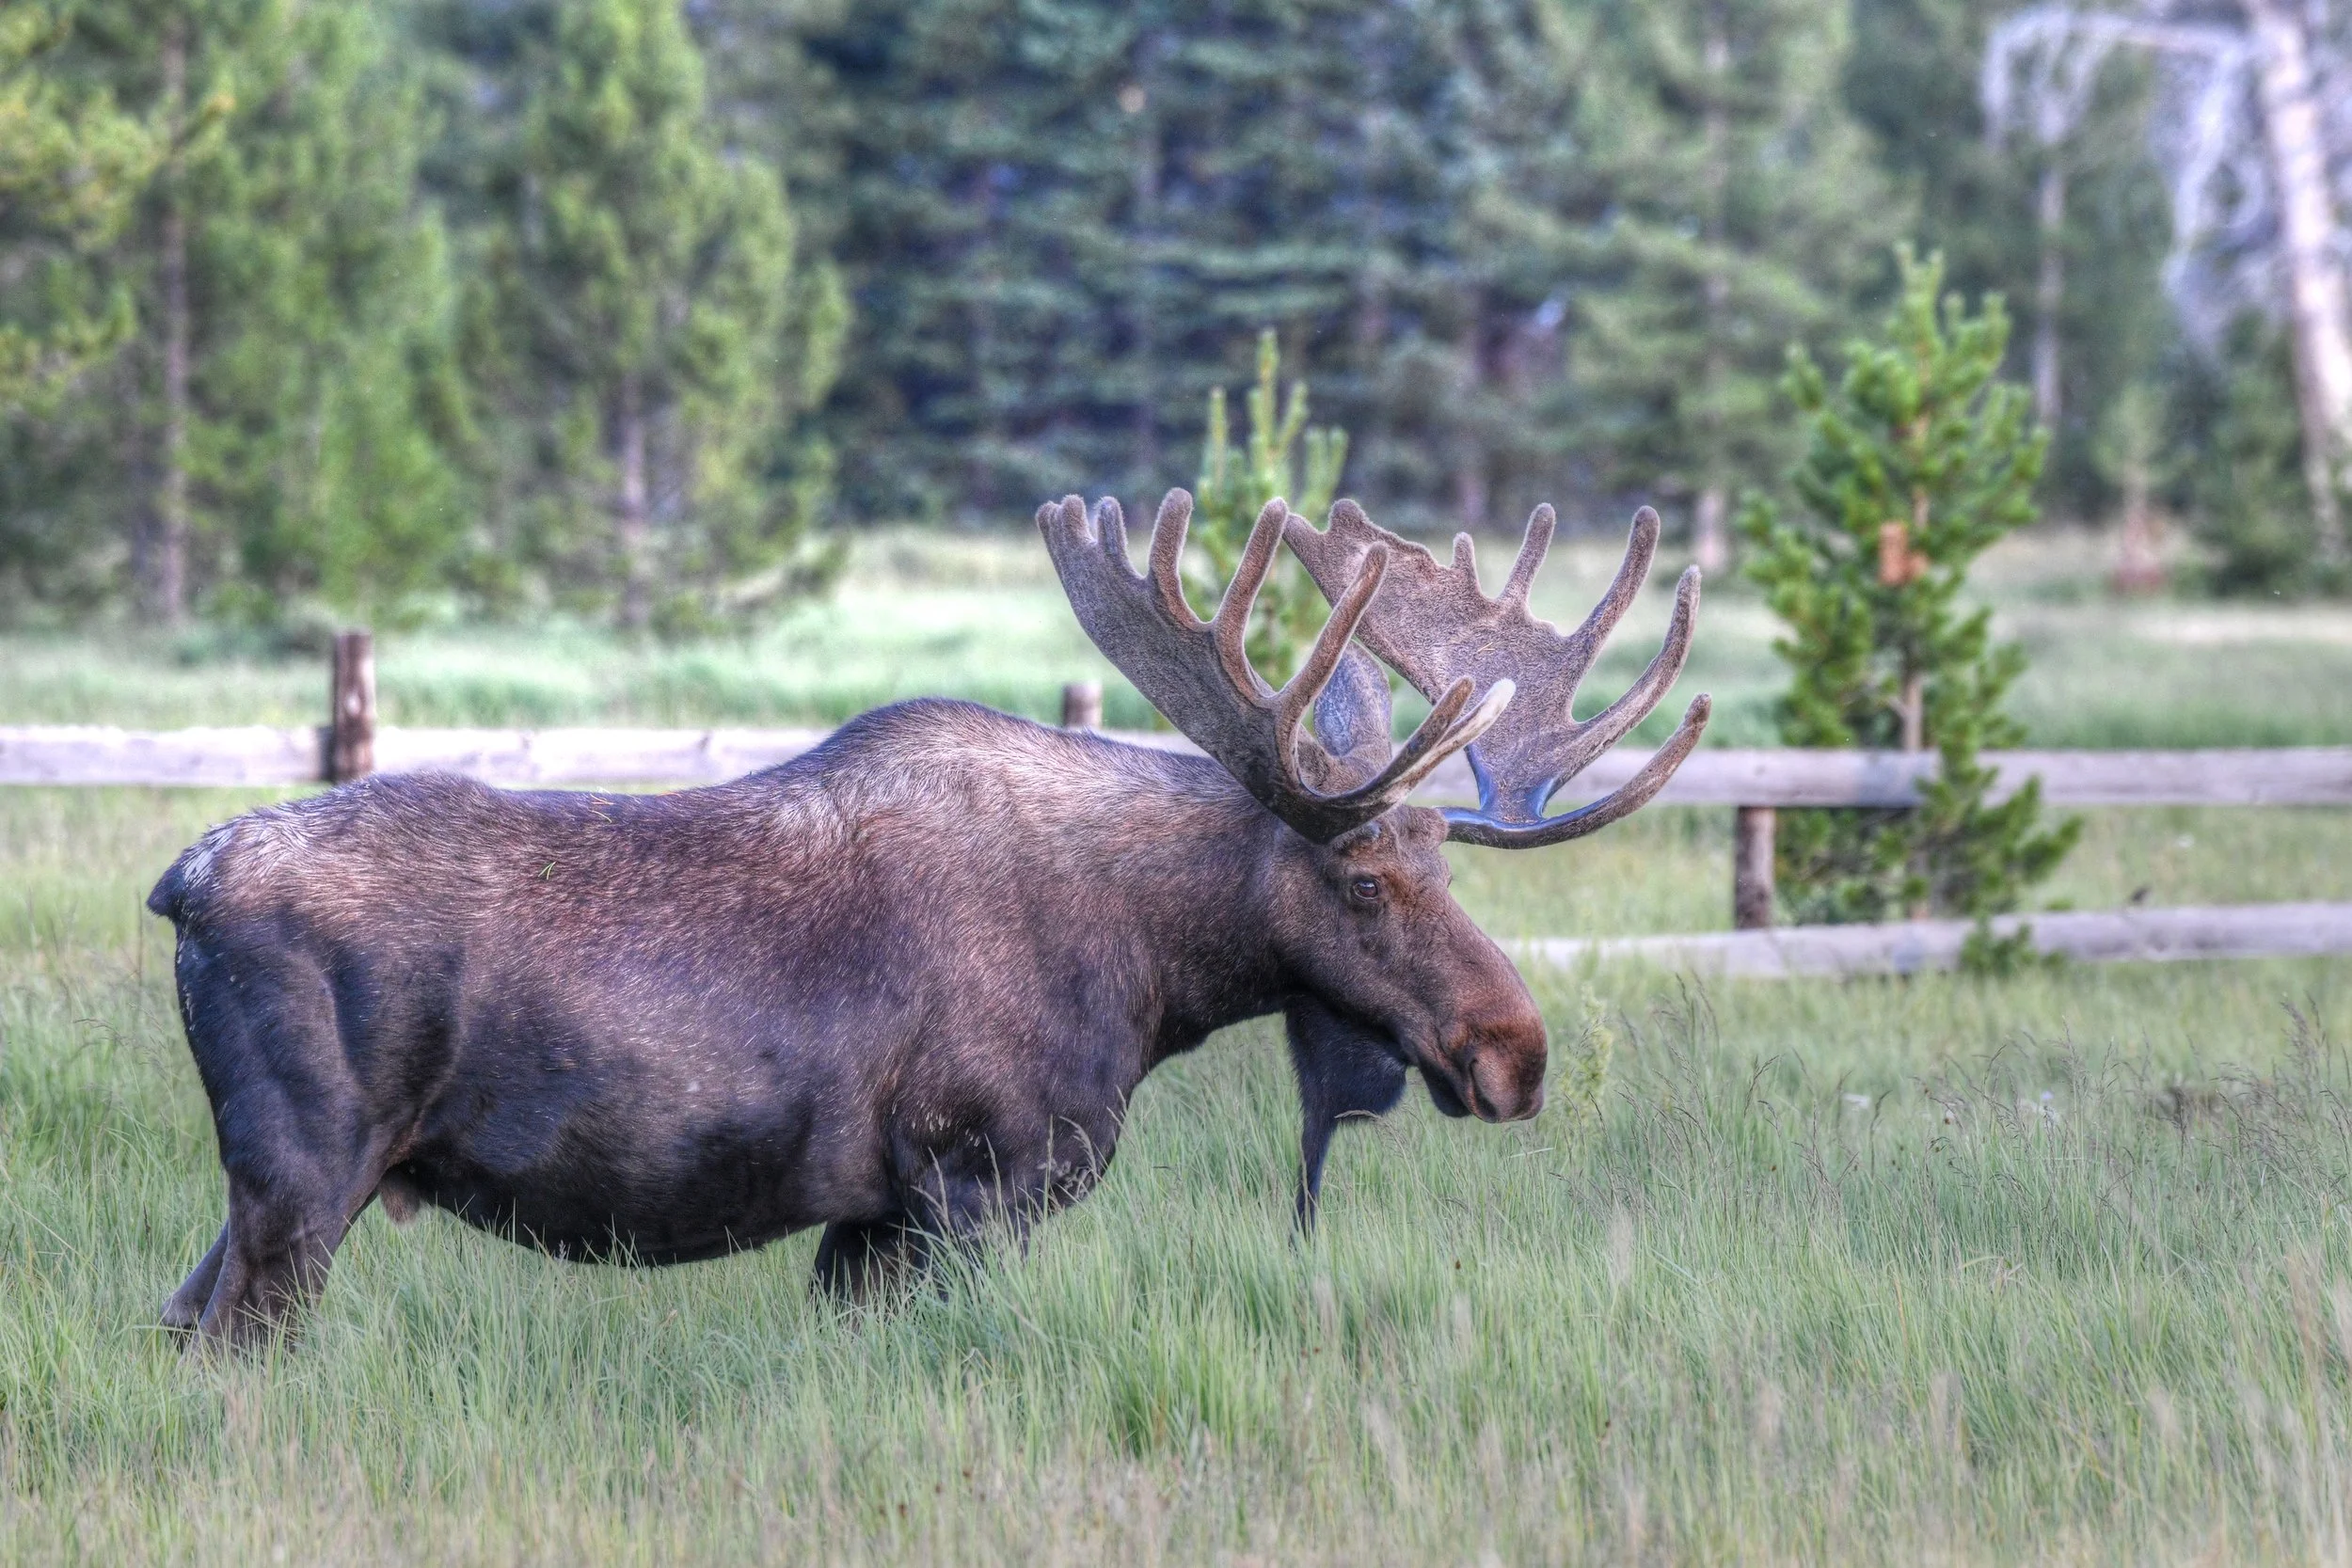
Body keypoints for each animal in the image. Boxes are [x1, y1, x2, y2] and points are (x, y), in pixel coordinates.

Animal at [147, 490, 1705, 1347]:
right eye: (1364, 881)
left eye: (1455, 868)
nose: (1515, 1052)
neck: (1156, 975)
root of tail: (181, 887)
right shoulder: (973, 1177)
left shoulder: (870, 1217)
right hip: (305, 1170)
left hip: (269, 1185)